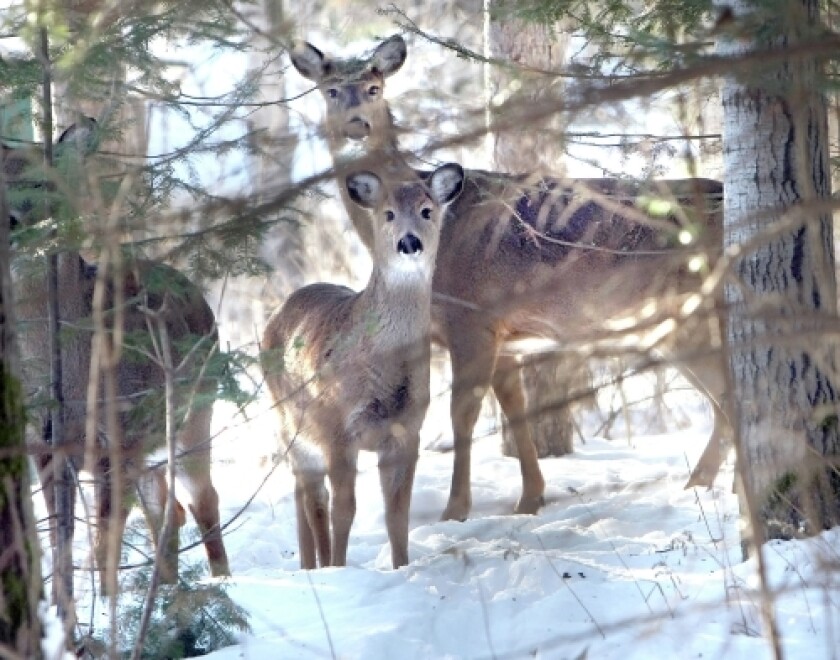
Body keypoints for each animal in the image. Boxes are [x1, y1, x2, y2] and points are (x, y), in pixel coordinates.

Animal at [3, 116, 231, 592]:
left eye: (42, 181)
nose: (10, 223)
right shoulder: (45, 444)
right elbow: (62, 538)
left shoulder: (118, 436)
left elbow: (105, 537)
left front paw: (104, 602)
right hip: (150, 447)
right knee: (167, 510)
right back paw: (168, 591)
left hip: (194, 414)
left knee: (203, 499)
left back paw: (222, 583)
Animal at [260, 162, 462, 568]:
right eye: (388, 213)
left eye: (427, 210)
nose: (409, 242)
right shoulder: (338, 428)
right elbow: (344, 511)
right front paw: (339, 567)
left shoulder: (407, 431)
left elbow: (397, 513)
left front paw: (401, 566)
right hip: (290, 423)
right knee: (314, 499)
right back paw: (321, 566)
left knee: (301, 494)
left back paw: (310, 564)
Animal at [288, 36, 728, 520]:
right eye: (330, 90)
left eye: (374, 87)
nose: (356, 126)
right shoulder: (504, 333)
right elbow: (516, 407)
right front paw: (531, 497)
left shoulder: (471, 318)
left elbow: (463, 411)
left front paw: (456, 509)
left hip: (688, 315)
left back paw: (706, 486)